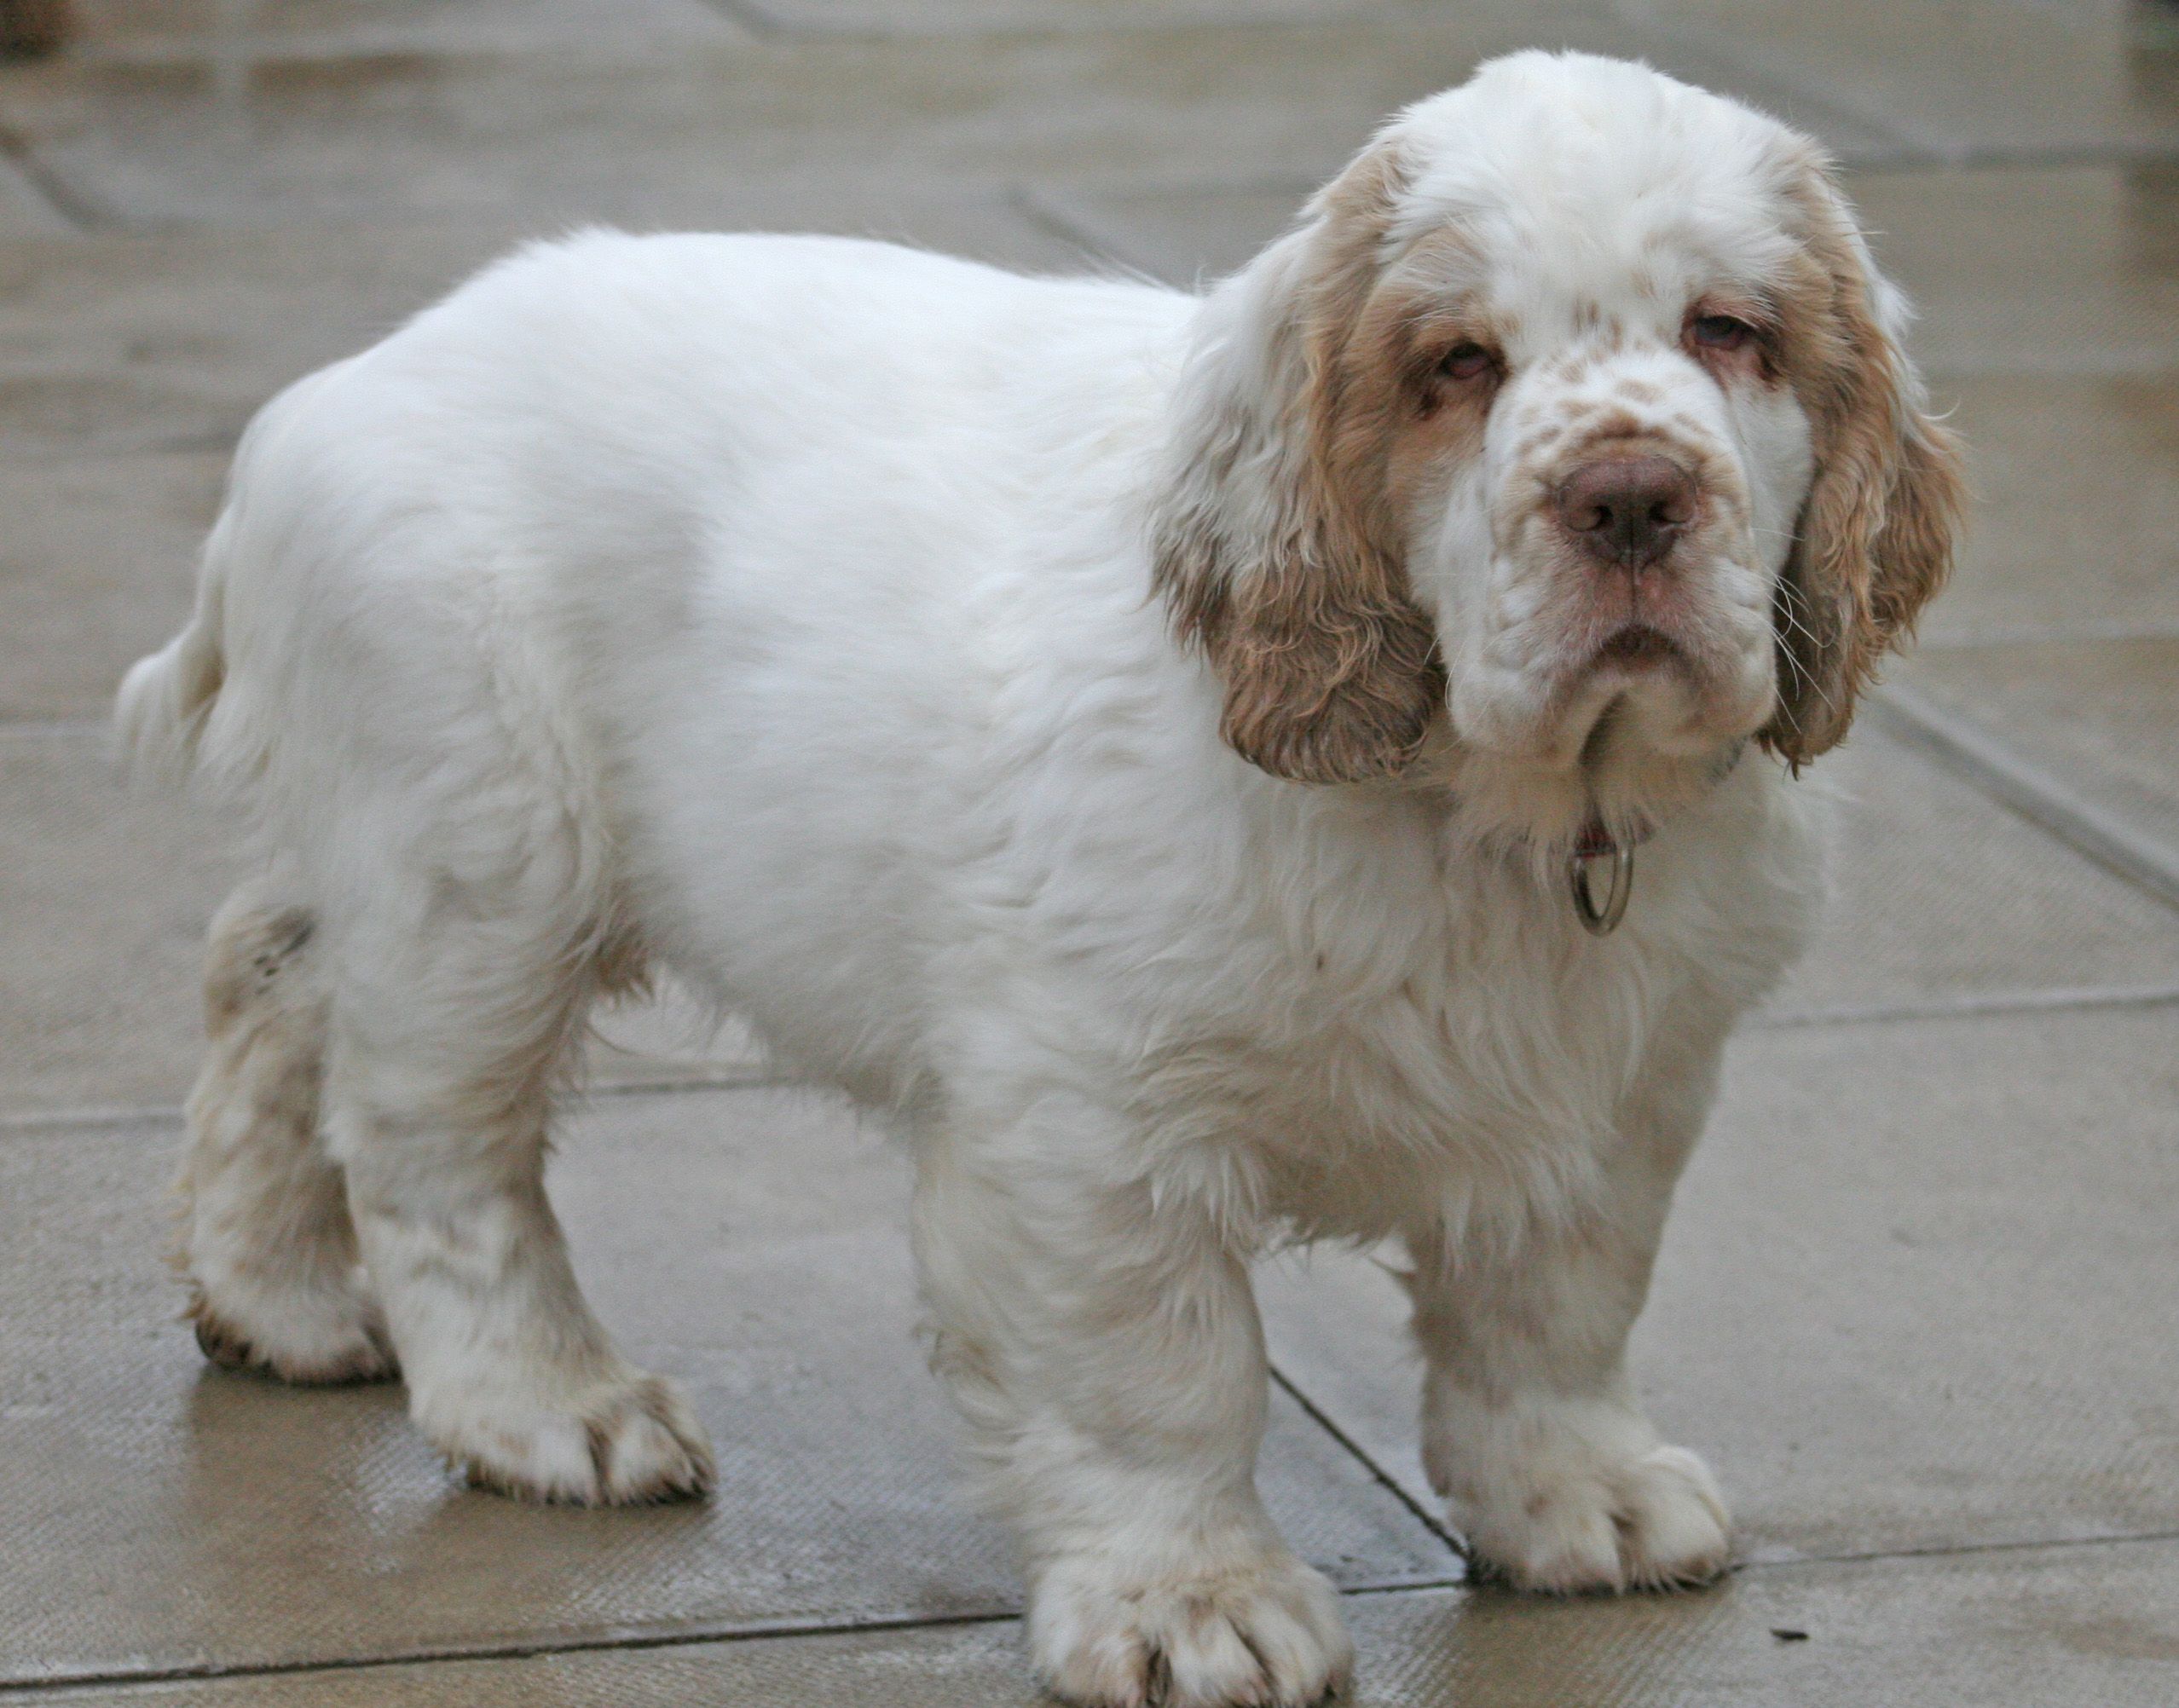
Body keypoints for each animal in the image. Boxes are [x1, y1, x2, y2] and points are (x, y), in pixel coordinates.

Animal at [118, 53, 1961, 1708]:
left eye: (1729, 331)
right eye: (1457, 363)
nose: (1632, 496)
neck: (1487, 798)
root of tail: (339, 388)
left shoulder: (1622, 1080)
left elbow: (1556, 1301)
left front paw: (1577, 1494)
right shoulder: (1090, 1123)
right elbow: (1162, 1371)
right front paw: (1189, 1604)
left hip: (407, 854)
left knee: (268, 976)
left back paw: (275, 1300)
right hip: (485, 858)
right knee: (434, 1149)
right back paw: (546, 1405)